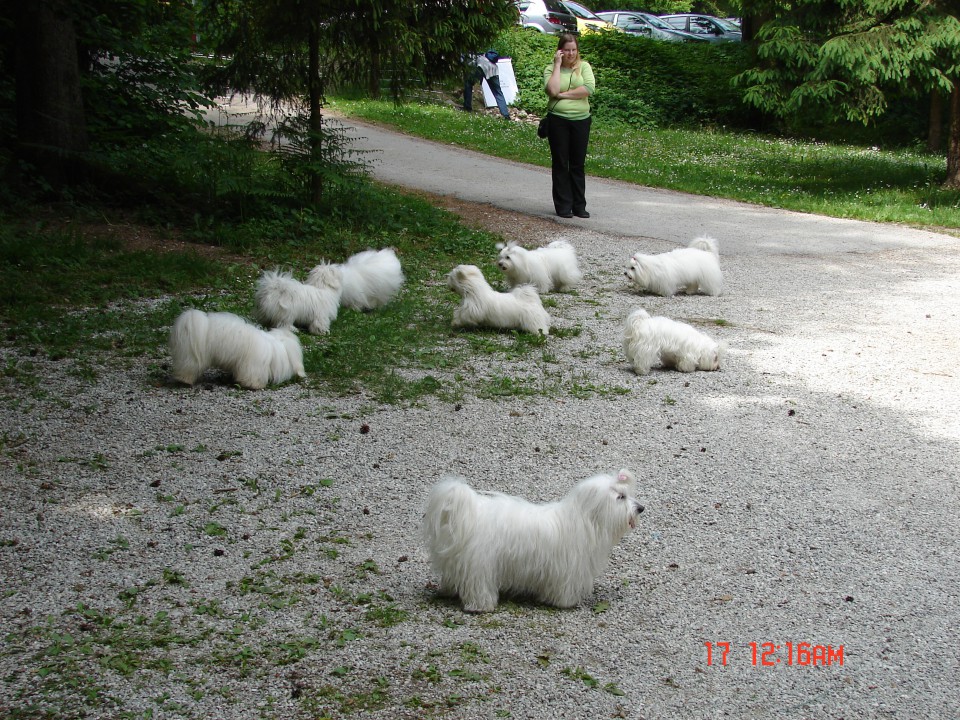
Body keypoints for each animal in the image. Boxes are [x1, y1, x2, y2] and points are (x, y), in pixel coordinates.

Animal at [169, 308, 304, 388]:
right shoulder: (253, 365)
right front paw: (254, 385)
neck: (274, 348)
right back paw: (185, 380)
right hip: (192, 357)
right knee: (188, 368)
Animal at [422, 466, 640, 612]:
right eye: (620, 497)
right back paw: (481, 606)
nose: (641, 508)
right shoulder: (566, 569)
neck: (583, 519)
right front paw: (565, 602)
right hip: (480, 564)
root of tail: (467, 514)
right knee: (478, 585)